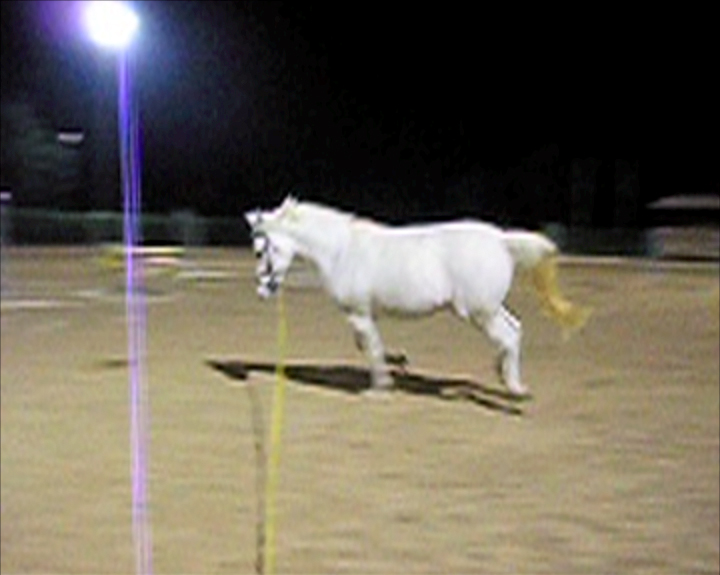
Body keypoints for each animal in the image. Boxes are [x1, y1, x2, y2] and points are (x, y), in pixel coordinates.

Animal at [245, 196, 590, 398]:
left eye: (261, 250)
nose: (263, 290)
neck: (341, 251)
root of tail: (501, 240)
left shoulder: (359, 313)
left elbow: (371, 347)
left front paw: (380, 388)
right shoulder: (364, 315)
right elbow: (367, 345)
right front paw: (393, 369)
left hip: (480, 312)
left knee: (507, 335)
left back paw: (514, 389)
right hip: (490, 308)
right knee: (514, 331)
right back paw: (506, 378)